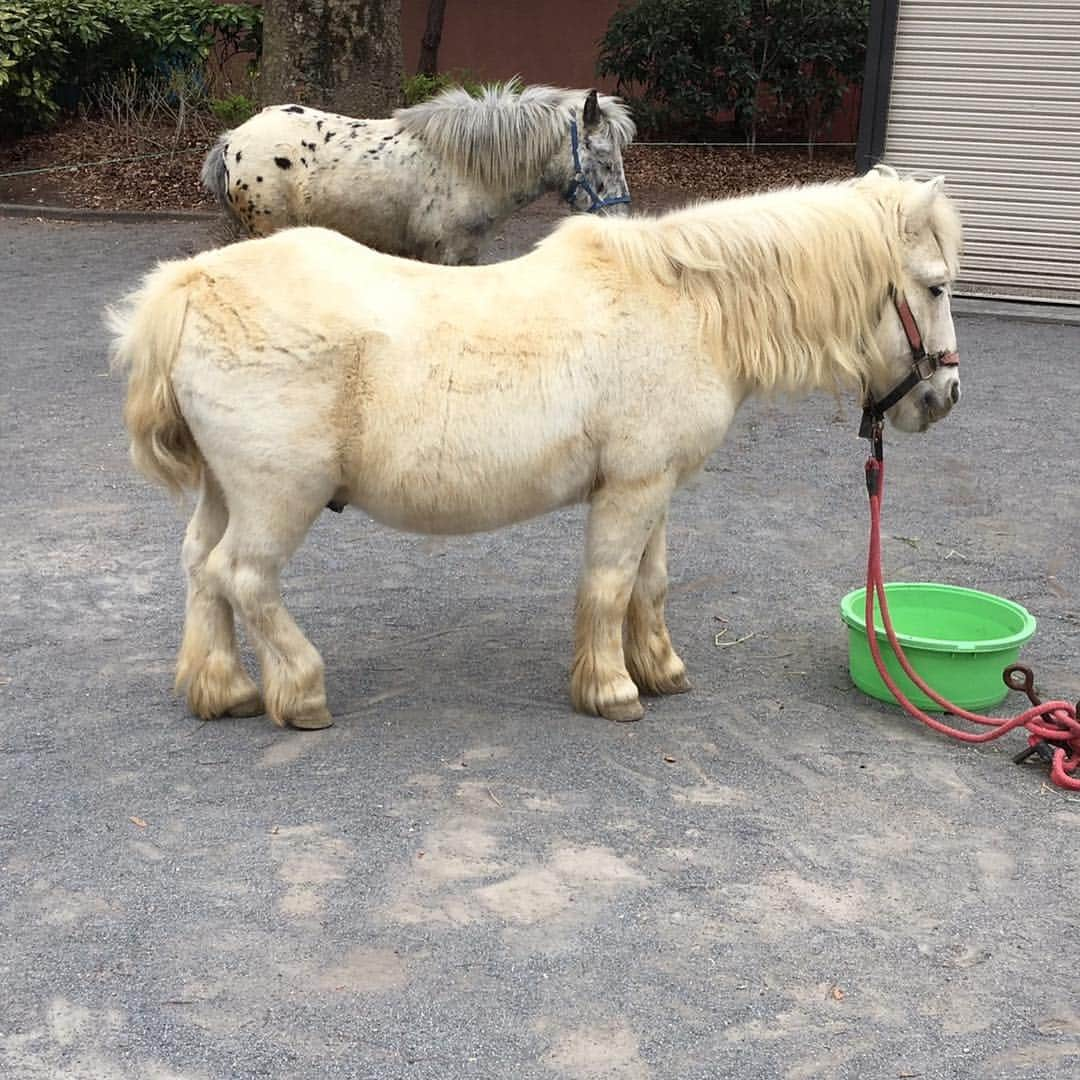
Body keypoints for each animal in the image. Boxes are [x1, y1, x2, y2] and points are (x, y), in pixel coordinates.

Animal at [111, 166, 963, 725]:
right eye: (936, 284)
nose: (945, 397)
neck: (688, 302)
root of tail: (191, 286)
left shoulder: (652, 487)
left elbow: (650, 585)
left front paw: (660, 669)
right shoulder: (633, 490)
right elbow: (610, 585)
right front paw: (612, 689)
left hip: (227, 491)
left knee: (201, 570)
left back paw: (223, 689)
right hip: (278, 496)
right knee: (243, 577)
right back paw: (301, 690)